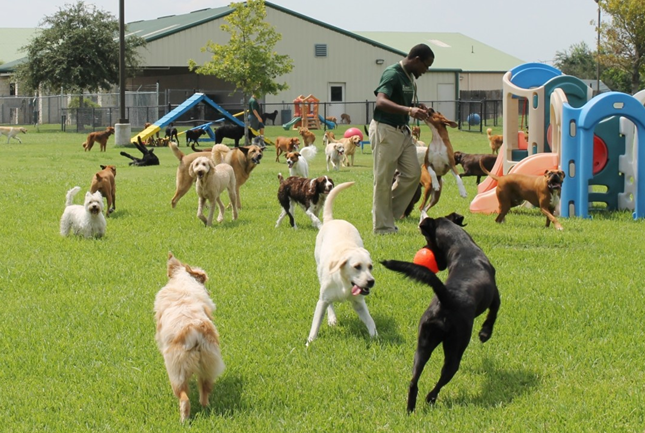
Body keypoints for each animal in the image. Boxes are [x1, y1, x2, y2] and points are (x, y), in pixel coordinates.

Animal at [153, 253, 224, 422]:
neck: (183, 282)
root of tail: (194, 329)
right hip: (208, 363)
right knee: (204, 391)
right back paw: (206, 409)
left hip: (176, 371)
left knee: (184, 398)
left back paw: (184, 420)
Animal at [308, 182, 378, 344]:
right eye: (357, 267)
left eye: (370, 267)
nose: (371, 281)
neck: (344, 284)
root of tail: (332, 220)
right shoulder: (322, 301)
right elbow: (315, 324)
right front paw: (310, 342)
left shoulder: (359, 303)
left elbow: (370, 321)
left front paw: (375, 337)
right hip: (320, 273)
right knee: (330, 304)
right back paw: (332, 319)